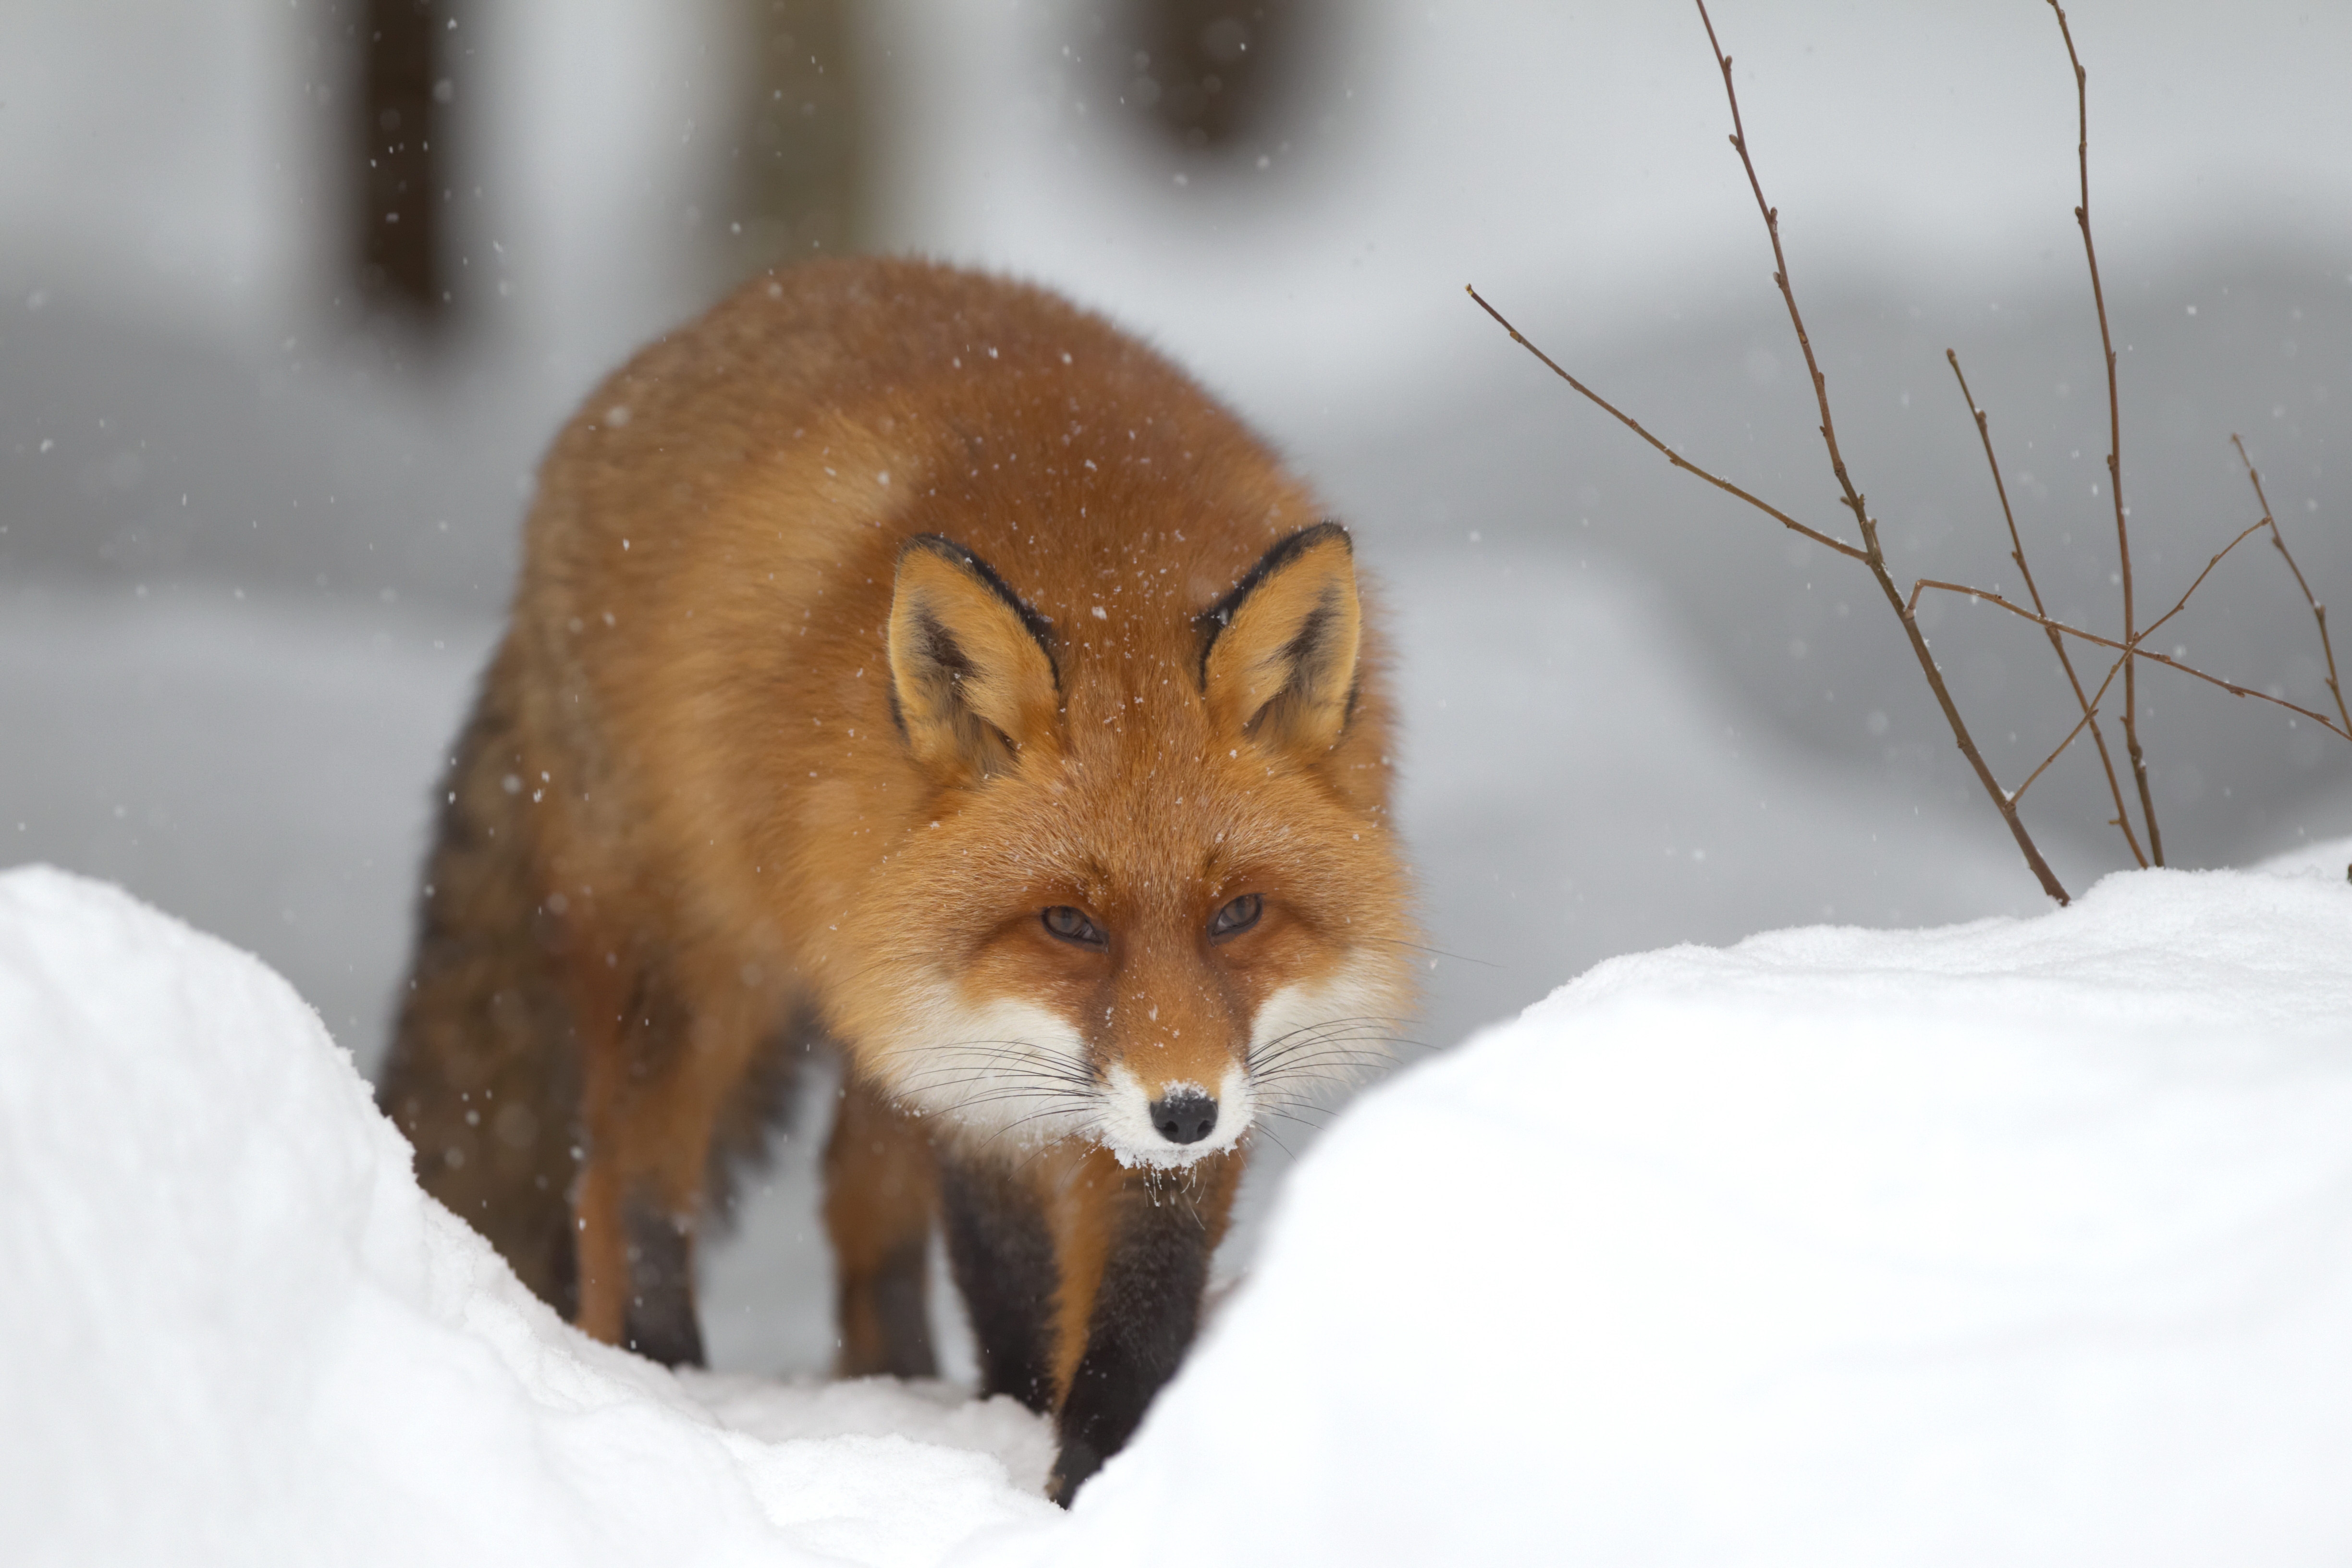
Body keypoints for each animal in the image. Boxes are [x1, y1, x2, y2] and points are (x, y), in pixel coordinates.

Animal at [381, 257, 1411, 1504]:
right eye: (1068, 922)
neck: (1101, 553)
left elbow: (1141, 1294)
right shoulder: (972, 1069)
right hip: (696, 974)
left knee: (853, 1202)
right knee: (622, 1183)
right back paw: (666, 1379)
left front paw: (1107, 1465)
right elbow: (1012, 1277)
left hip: (869, 1002)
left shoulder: (1165, 1065)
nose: (1183, 1111)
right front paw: (1031, 1433)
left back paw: (897, 1381)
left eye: (1240, 913)